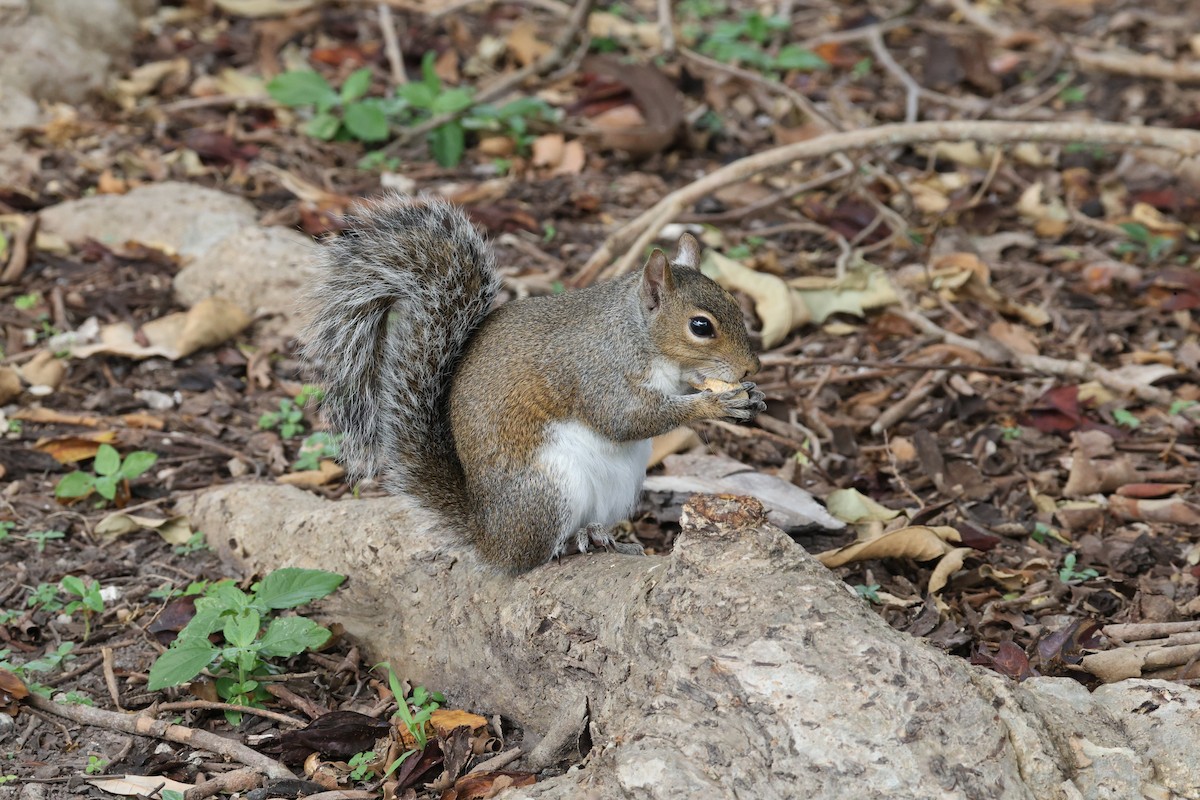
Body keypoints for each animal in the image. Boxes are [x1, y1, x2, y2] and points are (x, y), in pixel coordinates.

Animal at [301, 195, 765, 573]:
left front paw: (749, 398)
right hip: (549, 490)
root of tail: (489, 536)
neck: (637, 335)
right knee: (533, 555)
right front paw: (714, 405)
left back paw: (603, 537)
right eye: (700, 326)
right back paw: (569, 543)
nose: (750, 369)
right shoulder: (596, 370)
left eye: (734, 302)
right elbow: (622, 418)